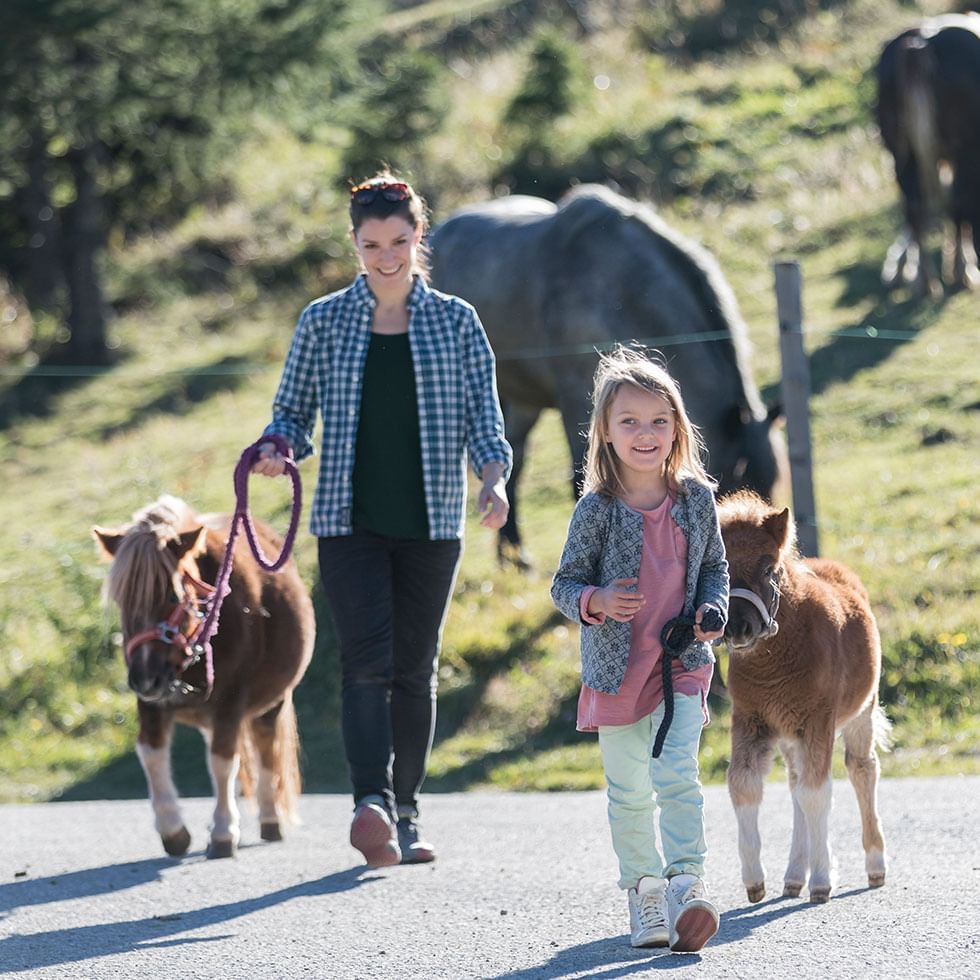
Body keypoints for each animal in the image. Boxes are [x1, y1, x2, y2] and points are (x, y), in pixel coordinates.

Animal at [92, 498, 314, 856]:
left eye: (171, 596)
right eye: (122, 600)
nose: (145, 678)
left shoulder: (230, 703)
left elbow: (223, 762)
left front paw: (223, 831)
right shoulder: (151, 703)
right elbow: (152, 755)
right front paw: (172, 829)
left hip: (272, 703)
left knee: (265, 751)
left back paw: (269, 819)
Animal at [716, 490, 892, 904]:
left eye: (768, 568)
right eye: (722, 569)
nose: (738, 628)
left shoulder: (818, 718)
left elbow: (818, 792)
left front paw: (823, 881)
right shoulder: (752, 718)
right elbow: (744, 786)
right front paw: (755, 881)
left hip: (861, 710)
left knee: (862, 770)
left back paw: (875, 866)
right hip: (789, 731)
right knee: (796, 782)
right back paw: (795, 874)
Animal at [876, 12, 980, 298]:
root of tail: (921, 41)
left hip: (903, 154)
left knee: (915, 209)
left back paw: (925, 281)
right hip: (963, 149)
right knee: (959, 202)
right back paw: (961, 273)